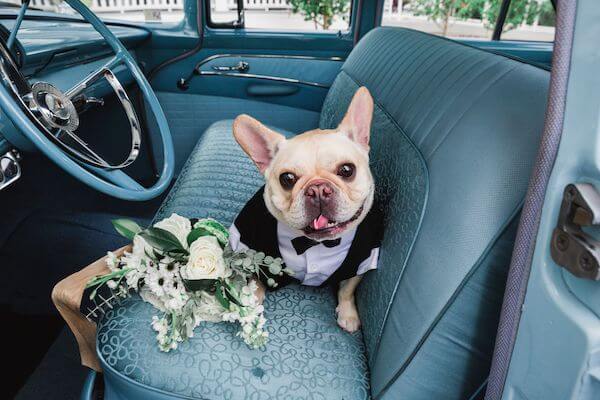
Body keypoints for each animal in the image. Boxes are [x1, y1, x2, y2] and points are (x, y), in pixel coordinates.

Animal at [232, 86, 372, 332]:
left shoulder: (362, 259)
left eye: (347, 170)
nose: (318, 189)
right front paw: (251, 306)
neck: (317, 244)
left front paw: (348, 313)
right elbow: (256, 282)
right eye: (287, 179)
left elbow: (348, 287)